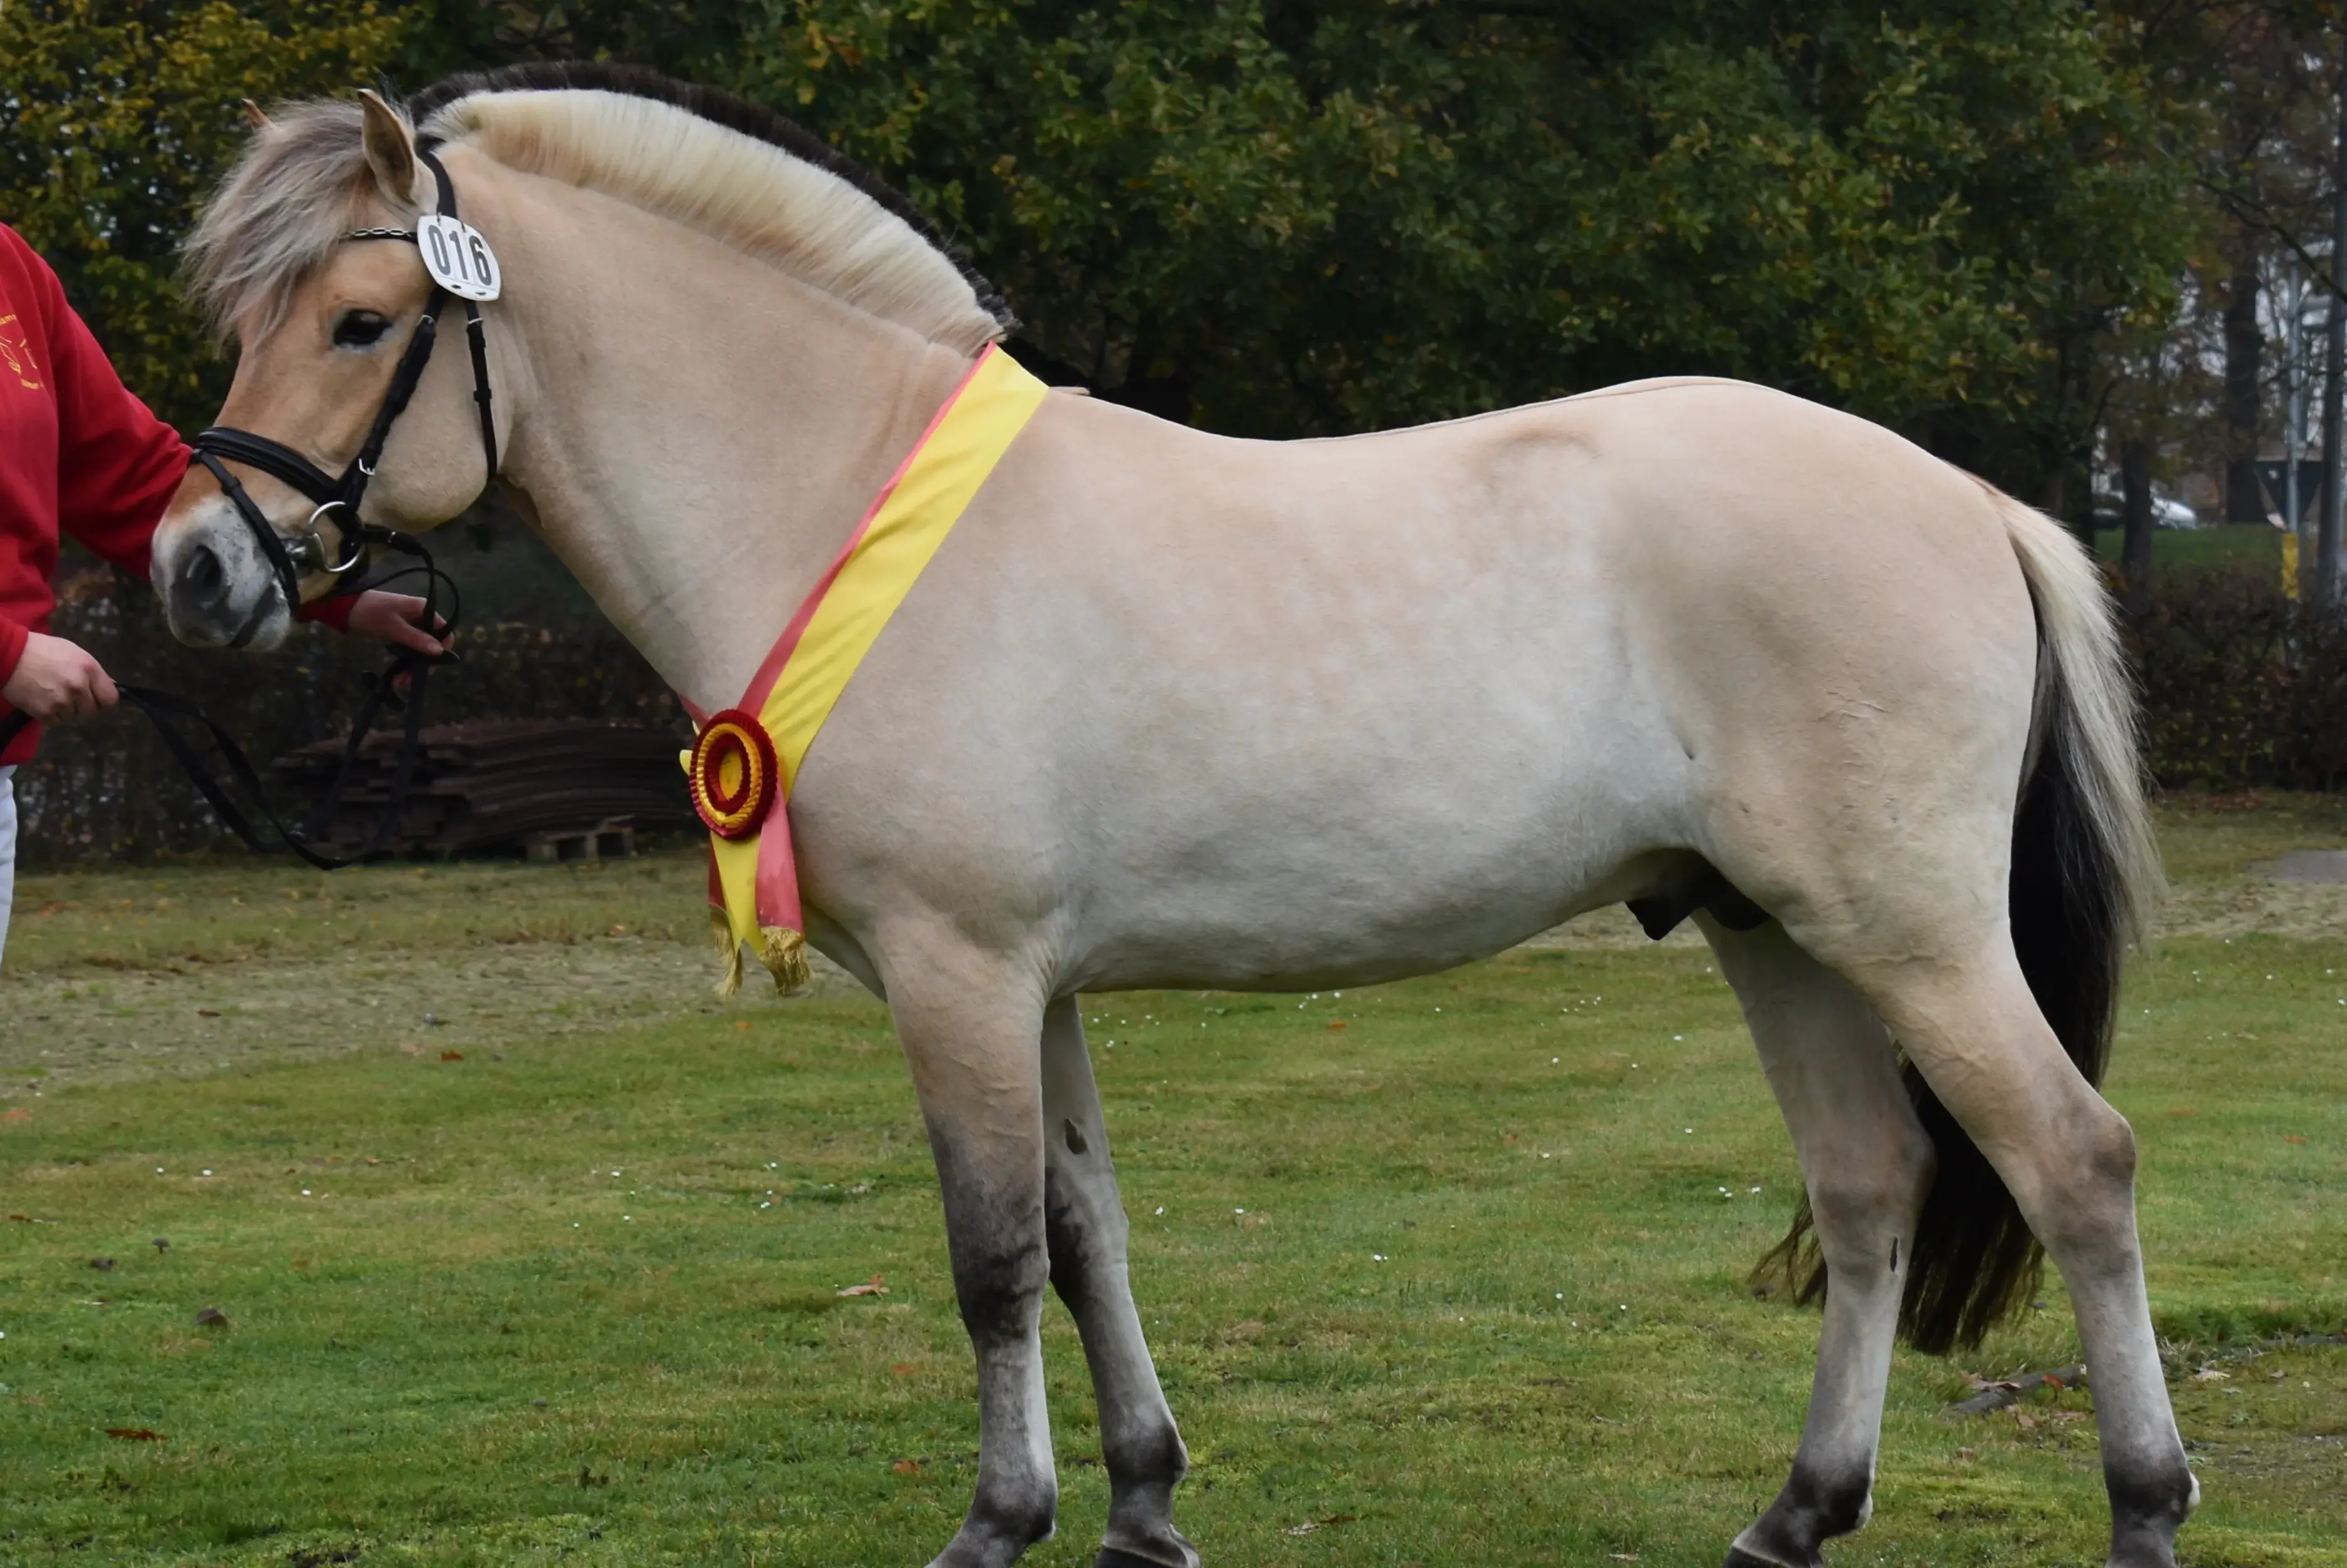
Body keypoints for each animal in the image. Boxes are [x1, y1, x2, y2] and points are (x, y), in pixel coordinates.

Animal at [151, 63, 2191, 1568]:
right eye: (253, 314)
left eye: (360, 319)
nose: (194, 568)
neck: (842, 504)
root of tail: (1971, 499)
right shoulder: (1036, 985)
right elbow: (1082, 1230)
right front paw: (1139, 1500)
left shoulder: (960, 973)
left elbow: (987, 1256)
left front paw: (999, 1521)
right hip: (1780, 932)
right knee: (1871, 1187)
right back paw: (1795, 1511)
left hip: (1911, 933)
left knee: (2075, 1162)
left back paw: (2145, 1508)